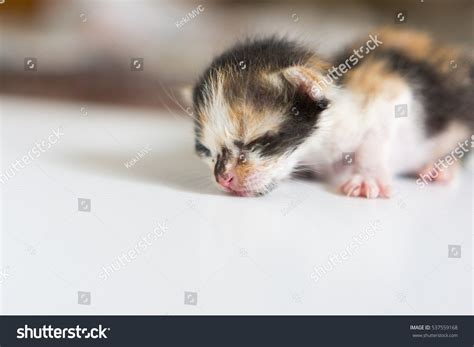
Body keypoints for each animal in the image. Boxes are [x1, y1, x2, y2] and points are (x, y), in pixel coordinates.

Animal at [190, 28, 474, 197]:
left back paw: (441, 168)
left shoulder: (387, 94)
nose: (222, 178)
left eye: (255, 141)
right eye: (206, 151)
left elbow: (374, 138)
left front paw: (367, 178)